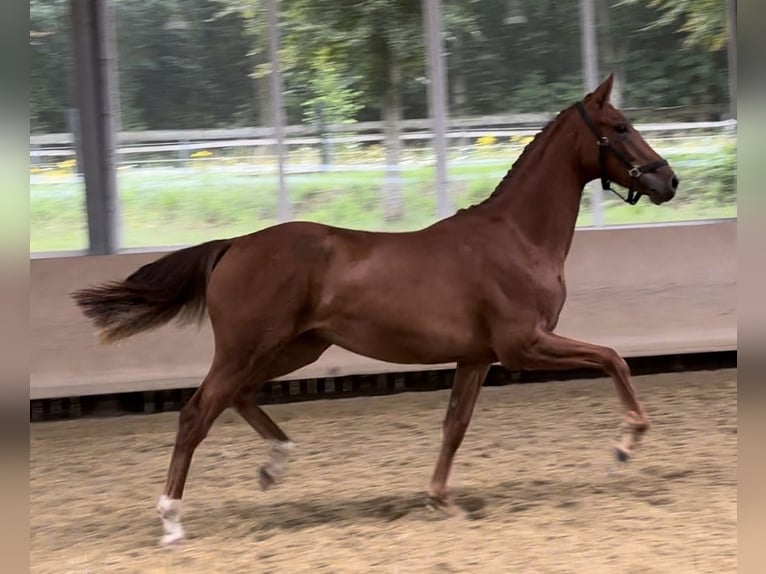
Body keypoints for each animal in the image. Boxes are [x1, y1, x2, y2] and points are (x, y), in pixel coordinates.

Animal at [75, 74, 680, 548]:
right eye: (620, 127)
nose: (668, 180)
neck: (516, 238)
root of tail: (234, 245)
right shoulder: (522, 346)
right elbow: (612, 358)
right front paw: (626, 444)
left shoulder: (476, 357)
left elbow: (455, 426)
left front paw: (440, 501)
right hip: (249, 348)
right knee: (196, 413)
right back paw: (172, 521)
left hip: (293, 348)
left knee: (237, 398)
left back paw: (275, 465)